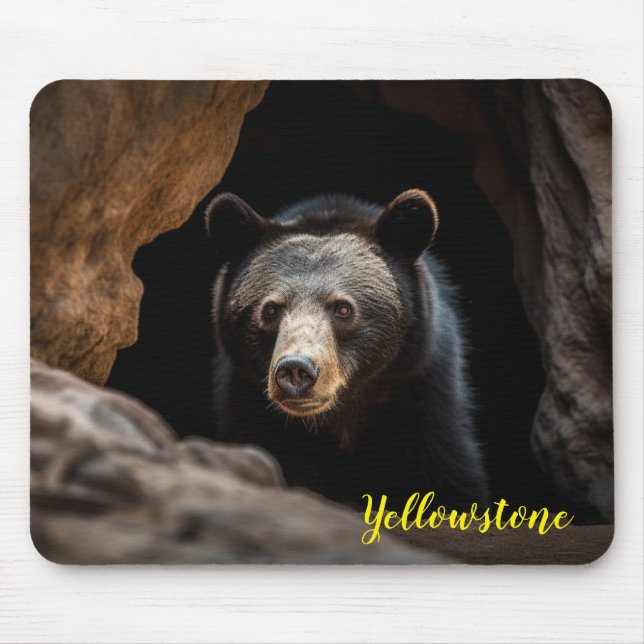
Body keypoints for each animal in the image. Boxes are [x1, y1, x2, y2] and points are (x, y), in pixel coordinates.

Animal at [205, 189, 489, 511]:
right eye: (270, 310)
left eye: (343, 308)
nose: (296, 370)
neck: (339, 418)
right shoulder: (246, 408)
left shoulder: (426, 403)